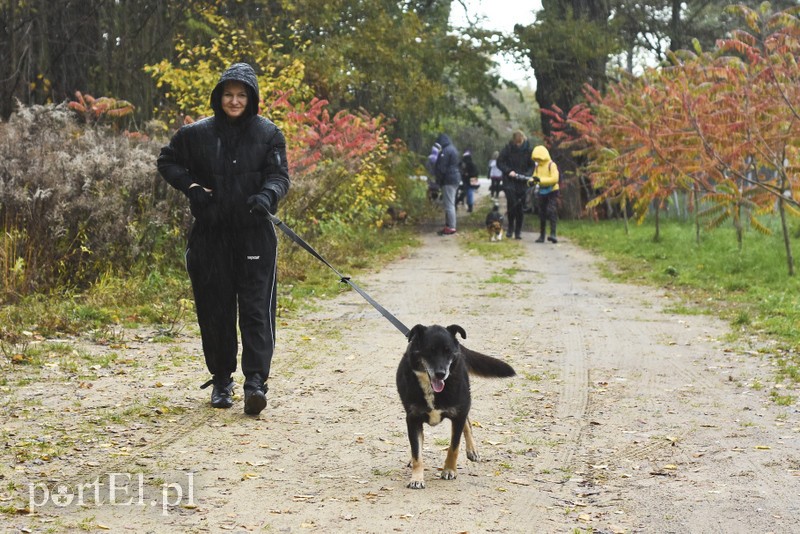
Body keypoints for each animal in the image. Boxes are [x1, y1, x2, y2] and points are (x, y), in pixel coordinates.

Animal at [396, 324, 520, 492]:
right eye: (429, 351)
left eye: (448, 351)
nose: (441, 374)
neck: (432, 389)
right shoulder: (413, 419)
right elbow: (417, 452)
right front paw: (416, 478)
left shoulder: (458, 414)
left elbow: (454, 447)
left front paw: (449, 470)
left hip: (464, 402)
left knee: (467, 423)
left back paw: (472, 450)